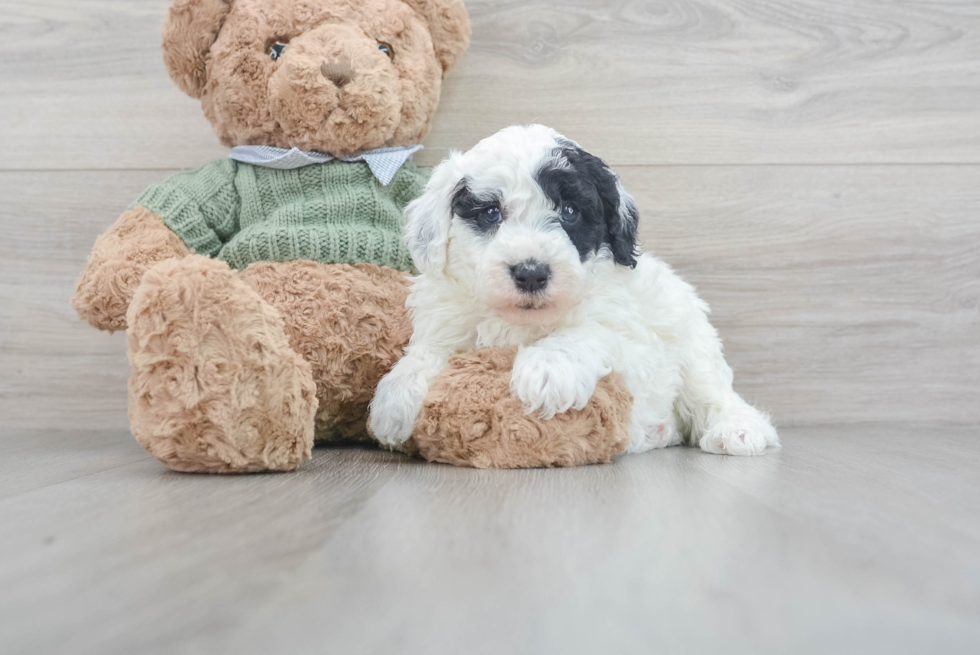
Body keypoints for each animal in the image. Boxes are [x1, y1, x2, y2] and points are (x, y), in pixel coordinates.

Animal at [370, 125, 780, 458]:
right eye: (490, 213)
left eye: (569, 211)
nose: (531, 273)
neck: (520, 321)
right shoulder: (447, 320)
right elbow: (427, 352)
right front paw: (395, 399)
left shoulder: (631, 340)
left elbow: (587, 332)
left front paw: (548, 370)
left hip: (693, 342)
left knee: (714, 393)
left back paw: (739, 430)